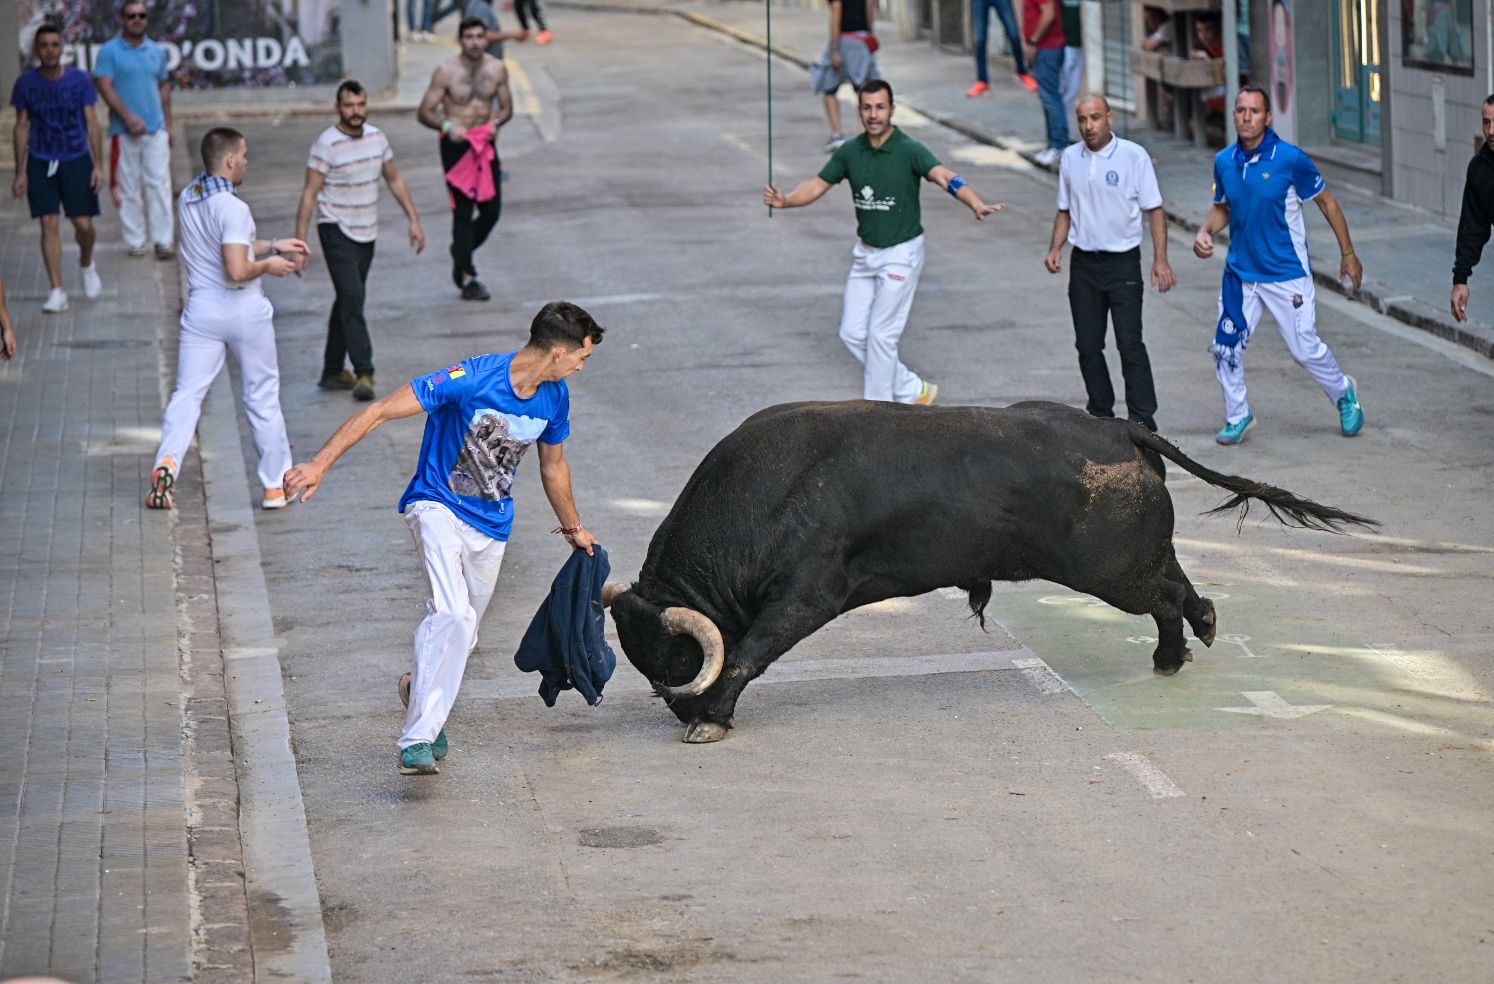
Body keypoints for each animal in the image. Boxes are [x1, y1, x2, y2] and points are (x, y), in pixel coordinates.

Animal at [600, 403, 1368, 743]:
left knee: (1170, 595)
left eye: (675, 657)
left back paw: (1191, 639)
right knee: (1173, 589)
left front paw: (714, 720)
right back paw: (1173, 653)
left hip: (1111, 570)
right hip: (1130, 560)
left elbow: (751, 650)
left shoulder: (807, 592)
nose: (683, 710)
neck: (763, 496)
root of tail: (1117, 427)